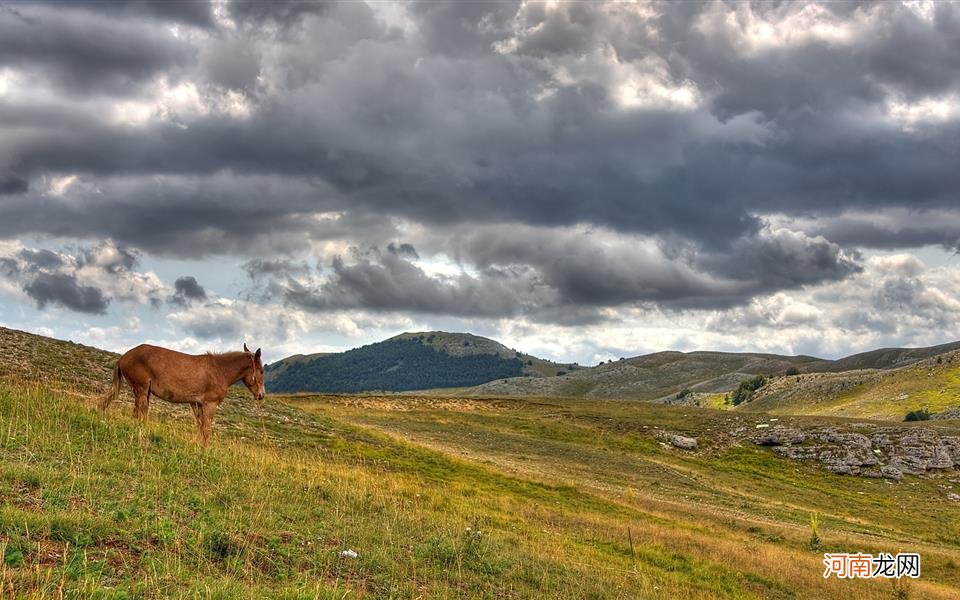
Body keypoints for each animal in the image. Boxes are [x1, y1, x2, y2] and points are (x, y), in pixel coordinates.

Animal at [100, 342, 264, 446]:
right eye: (261, 371)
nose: (261, 395)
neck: (219, 371)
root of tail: (124, 357)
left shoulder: (197, 404)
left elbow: (200, 426)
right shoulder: (210, 404)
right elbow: (206, 429)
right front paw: (205, 449)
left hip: (141, 391)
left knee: (135, 413)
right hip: (141, 390)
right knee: (141, 413)